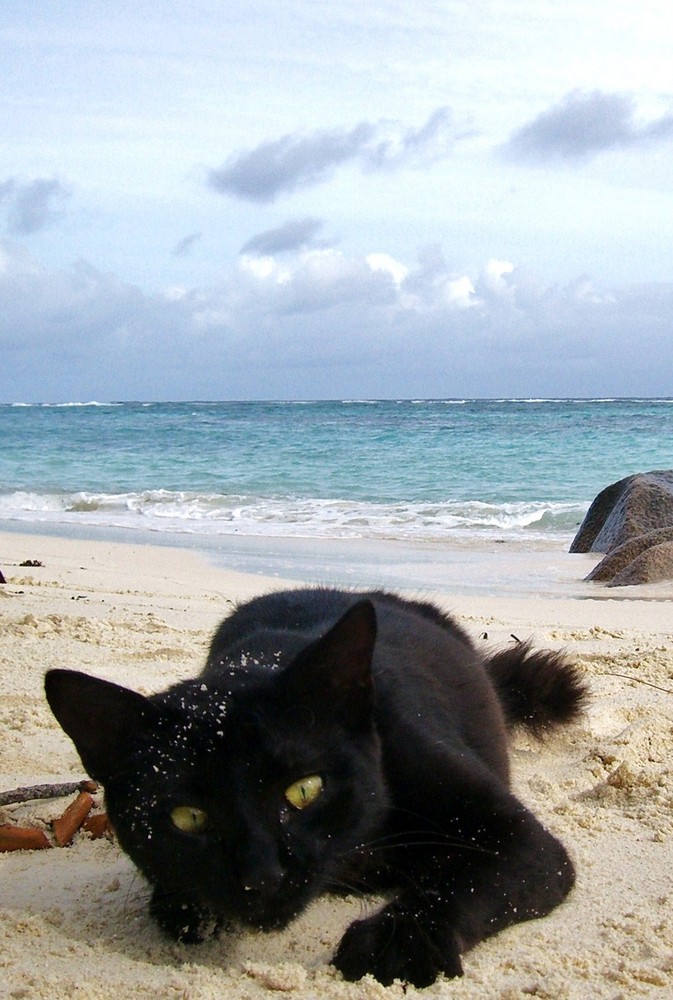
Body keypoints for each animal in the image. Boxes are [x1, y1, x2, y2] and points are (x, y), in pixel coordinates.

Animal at [46, 584, 584, 984]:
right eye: (188, 817)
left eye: (304, 790)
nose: (261, 875)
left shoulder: (518, 837)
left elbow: (461, 883)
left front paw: (391, 947)